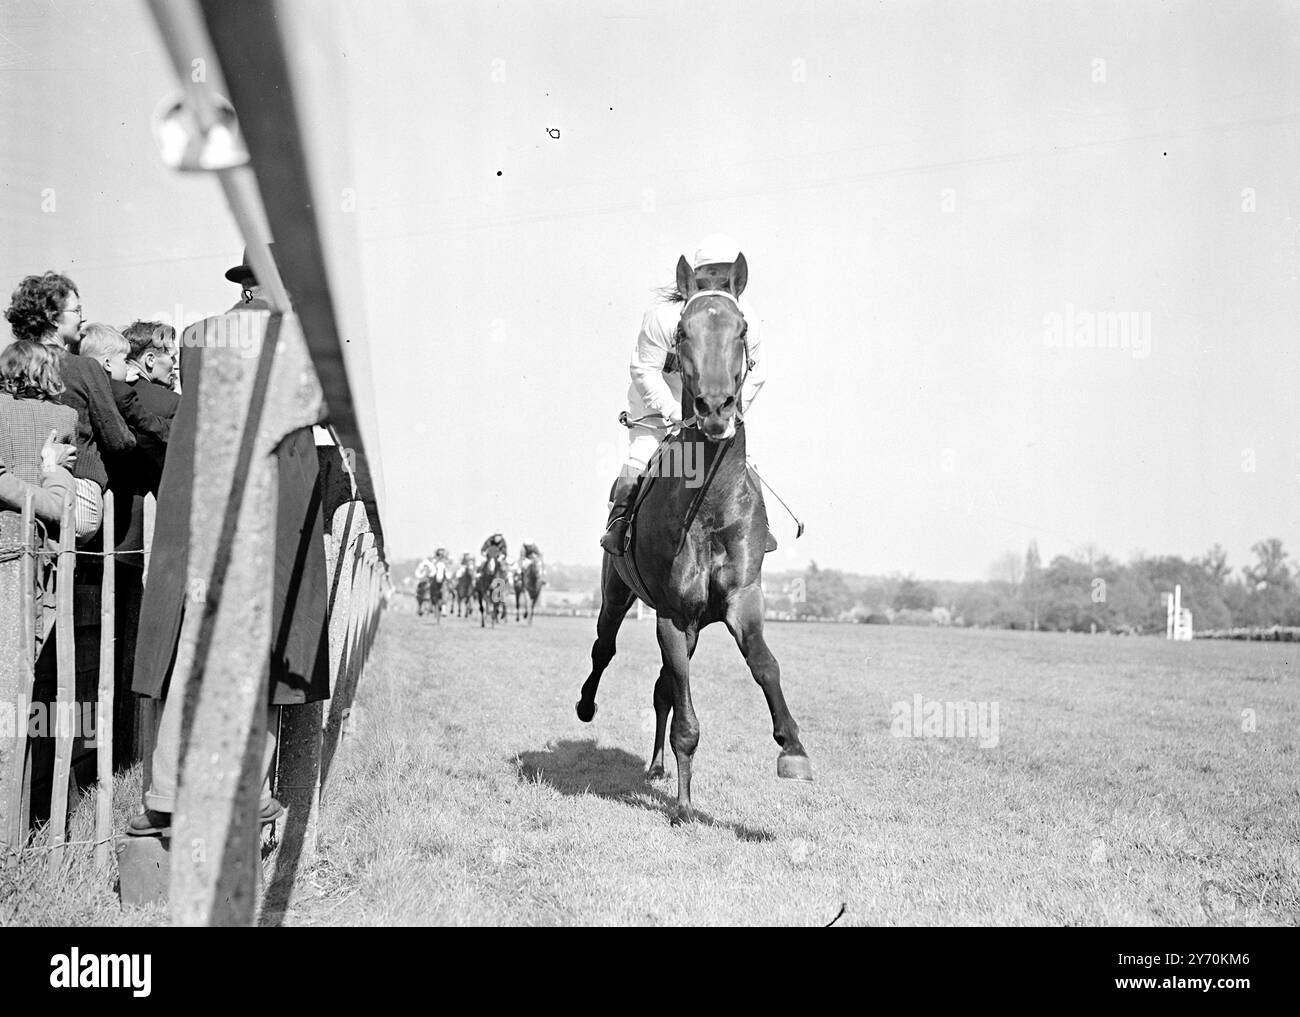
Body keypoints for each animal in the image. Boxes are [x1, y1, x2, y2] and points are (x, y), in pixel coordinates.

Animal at [574, 250, 806, 821]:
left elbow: (765, 665)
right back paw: (588, 706)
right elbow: (686, 717)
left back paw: (656, 765)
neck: (711, 506)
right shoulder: (674, 614)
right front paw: (681, 805)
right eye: (682, 332)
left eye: (742, 330)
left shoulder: (741, 598)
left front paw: (793, 747)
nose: (716, 408)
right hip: (618, 594)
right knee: (605, 649)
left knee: (661, 687)